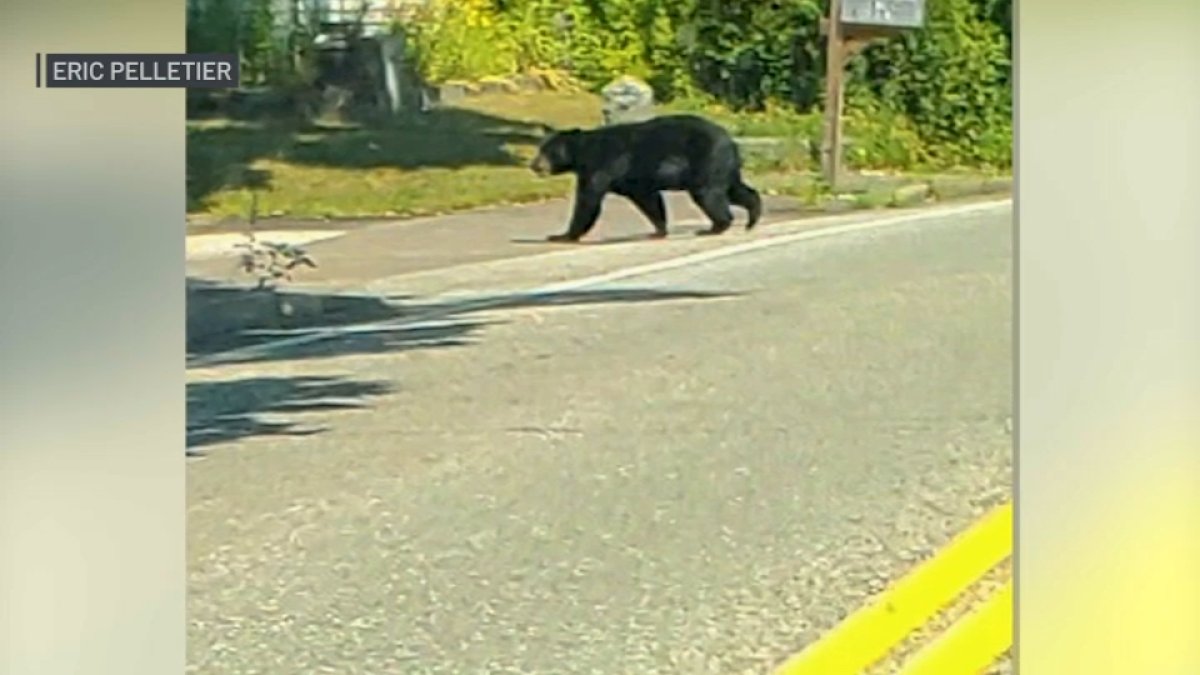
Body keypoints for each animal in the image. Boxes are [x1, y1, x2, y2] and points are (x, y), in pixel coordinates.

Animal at [530, 113, 763, 241]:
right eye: (540, 148)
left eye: (546, 151)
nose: (533, 165)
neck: (582, 153)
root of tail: (731, 141)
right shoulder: (636, 180)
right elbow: (649, 200)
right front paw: (658, 230)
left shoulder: (601, 165)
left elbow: (588, 200)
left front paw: (562, 235)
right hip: (722, 166)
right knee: (734, 190)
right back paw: (752, 217)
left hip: (707, 160)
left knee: (708, 193)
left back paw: (715, 227)